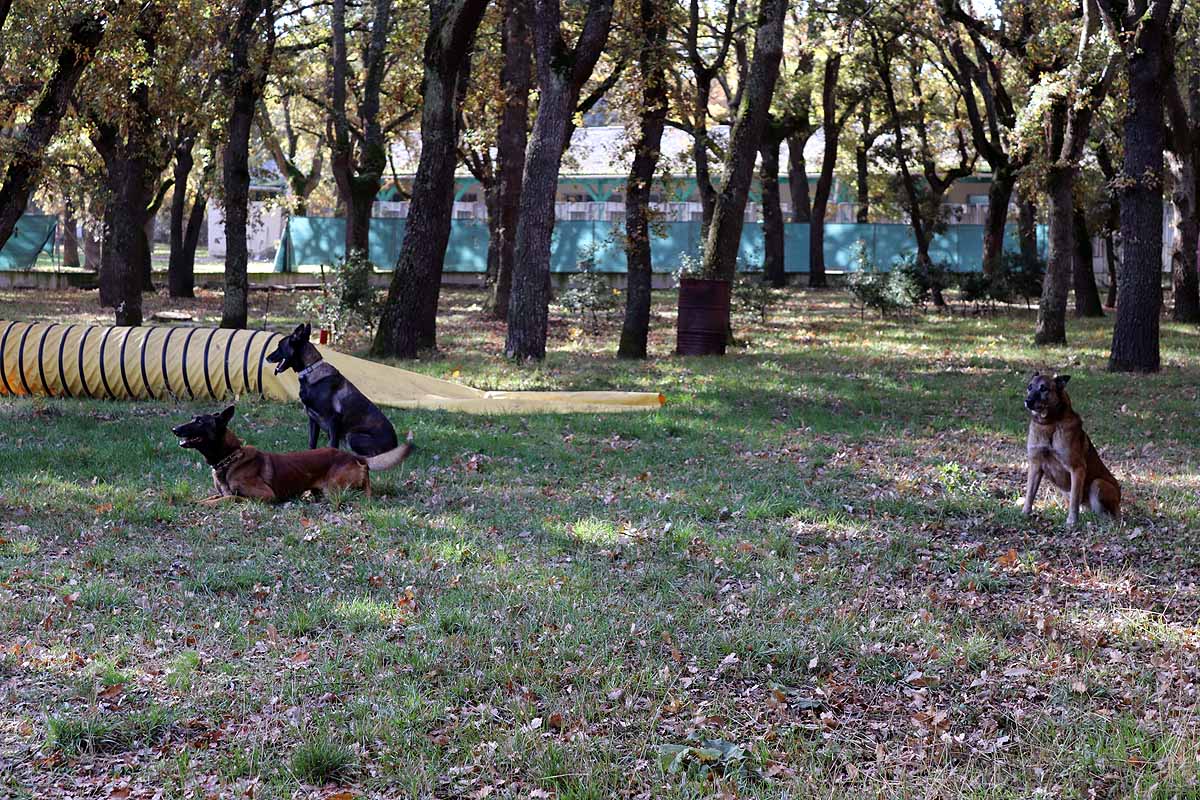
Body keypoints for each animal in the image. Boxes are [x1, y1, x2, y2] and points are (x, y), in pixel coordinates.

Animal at [265, 321, 410, 470]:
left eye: (279, 346)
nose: (266, 357)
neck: (310, 370)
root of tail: (394, 447)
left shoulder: (333, 420)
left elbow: (332, 445)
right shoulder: (313, 419)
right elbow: (312, 443)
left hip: (353, 436)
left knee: (371, 457)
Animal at [1027, 374, 1118, 527]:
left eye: (1044, 388)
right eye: (1029, 387)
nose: (1027, 401)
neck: (1049, 424)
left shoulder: (1077, 469)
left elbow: (1075, 500)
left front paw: (1071, 521)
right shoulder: (1035, 466)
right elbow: (1029, 494)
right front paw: (1024, 514)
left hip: (1097, 484)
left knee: (1107, 516)